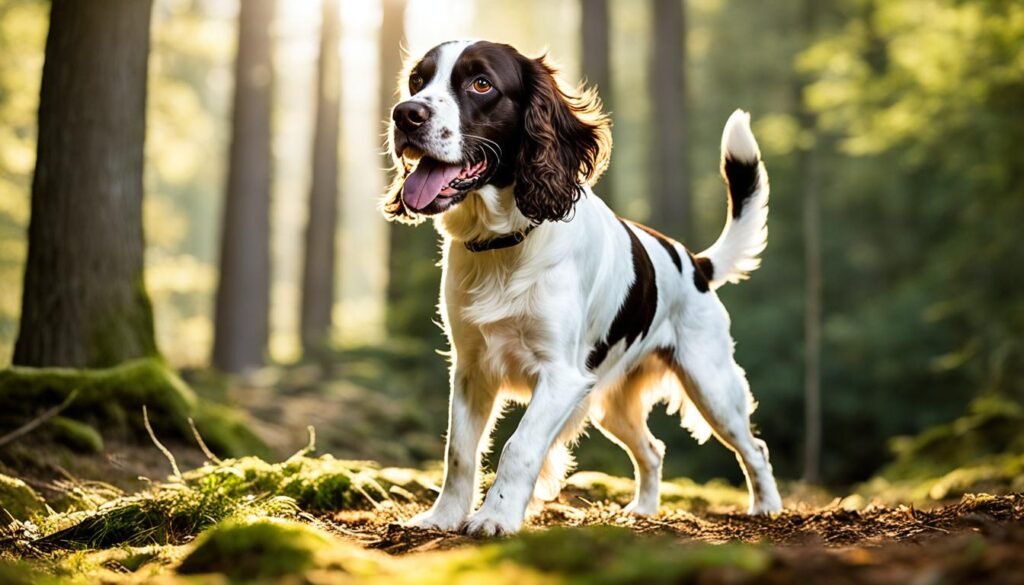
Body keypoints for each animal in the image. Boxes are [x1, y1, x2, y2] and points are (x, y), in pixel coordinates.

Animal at [385, 39, 782, 536]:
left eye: (481, 84)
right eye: (417, 81)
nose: (405, 115)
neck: (507, 242)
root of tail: (695, 262)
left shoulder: (561, 377)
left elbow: (518, 447)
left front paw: (495, 517)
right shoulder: (471, 369)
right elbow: (458, 451)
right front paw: (443, 517)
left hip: (711, 384)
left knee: (754, 448)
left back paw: (767, 507)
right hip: (613, 402)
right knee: (653, 449)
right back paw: (643, 510)